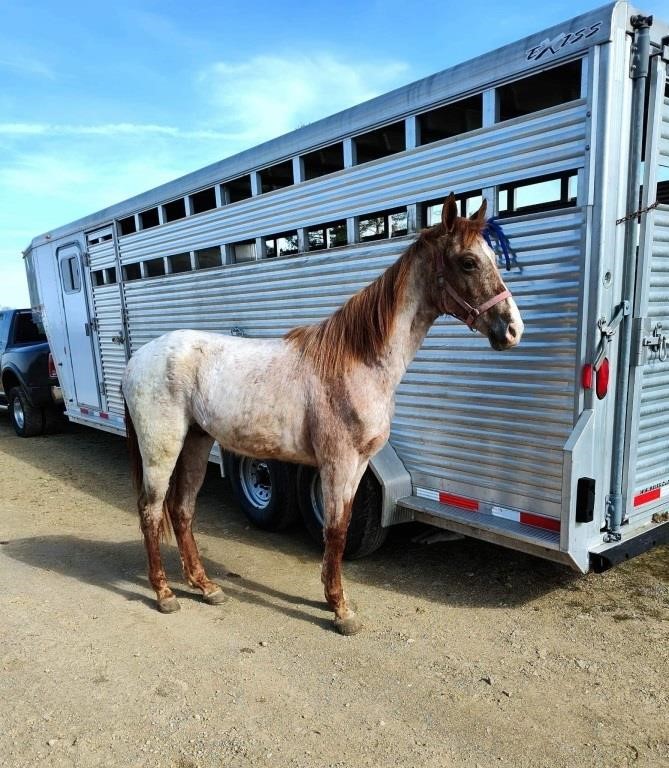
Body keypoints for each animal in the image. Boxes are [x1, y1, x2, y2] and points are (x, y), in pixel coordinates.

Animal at [122, 195, 524, 632]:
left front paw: (334, 599)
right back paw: (164, 593)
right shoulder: (338, 462)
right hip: (161, 450)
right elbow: (334, 531)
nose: (512, 330)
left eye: (493, 257)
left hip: (196, 441)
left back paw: (206, 586)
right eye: (468, 262)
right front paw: (340, 610)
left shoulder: (358, 465)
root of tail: (136, 359)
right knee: (150, 511)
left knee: (182, 510)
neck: (357, 360)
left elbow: (342, 527)